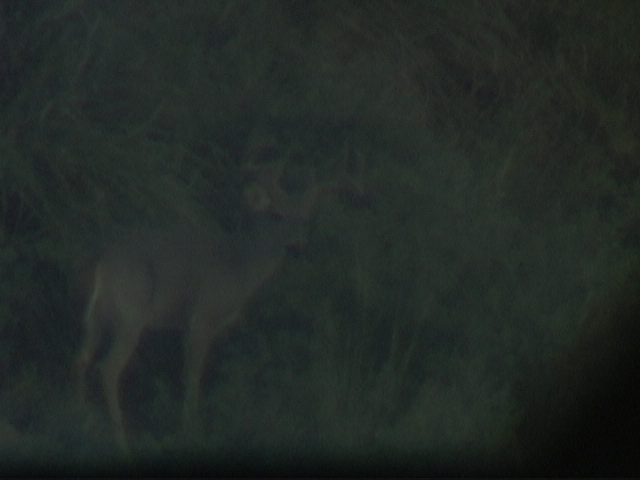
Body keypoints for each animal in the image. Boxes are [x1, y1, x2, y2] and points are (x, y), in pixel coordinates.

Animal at [74, 158, 360, 452]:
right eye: (277, 214)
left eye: (304, 220)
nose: (297, 247)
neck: (239, 265)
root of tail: (100, 258)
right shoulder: (205, 315)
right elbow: (193, 375)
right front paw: (189, 430)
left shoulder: (190, 324)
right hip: (130, 314)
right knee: (108, 368)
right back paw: (122, 442)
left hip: (94, 318)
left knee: (81, 359)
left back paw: (80, 421)